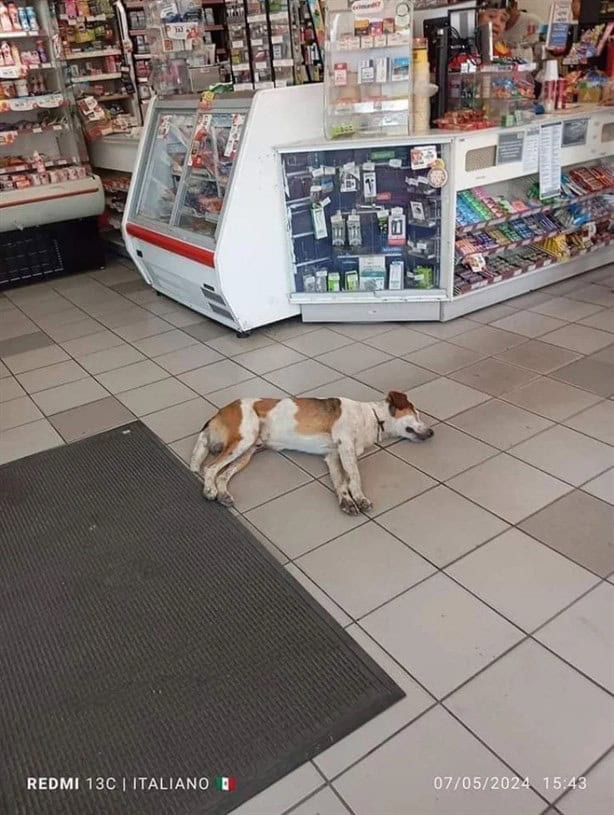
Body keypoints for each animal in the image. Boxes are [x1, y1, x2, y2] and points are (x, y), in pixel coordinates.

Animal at [190, 390, 436, 516]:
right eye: (416, 414)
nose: (432, 432)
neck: (373, 417)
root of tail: (218, 413)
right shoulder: (345, 445)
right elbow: (354, 476)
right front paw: (359, 498)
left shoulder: (334, 455)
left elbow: (340, 482)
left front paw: (346, 501)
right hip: (244, 437)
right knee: (210, 468)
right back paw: (209, 491)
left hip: (248, 451)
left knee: (222, 474)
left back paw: (223, 494)